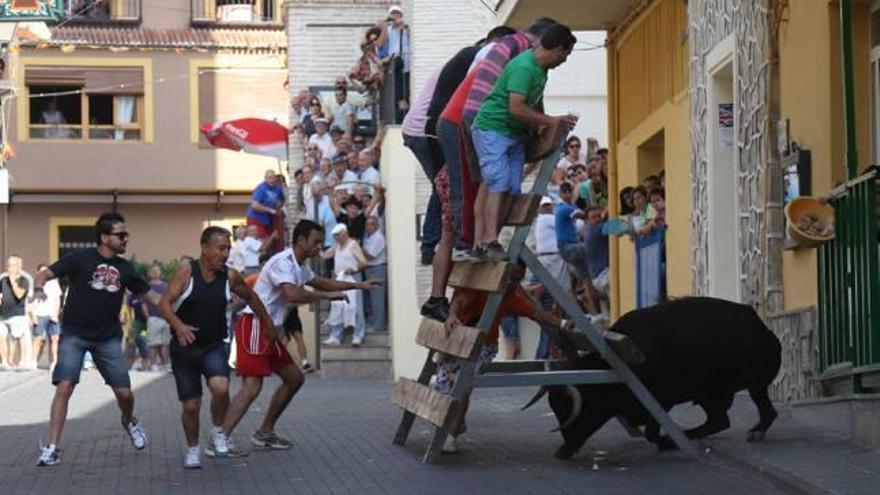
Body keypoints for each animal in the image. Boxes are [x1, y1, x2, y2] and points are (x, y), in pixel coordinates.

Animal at [536, 296, 784, 460]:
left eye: (573, 410)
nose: (562, 451)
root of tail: (762, 328)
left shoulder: (660, 400)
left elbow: (652, 433)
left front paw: (667, 441)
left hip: (749, 383)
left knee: (760, 412)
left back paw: (754, 431)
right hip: (711, 393)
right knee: (719, 420)